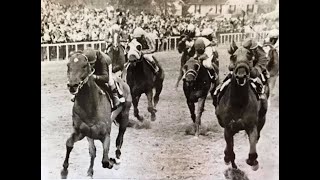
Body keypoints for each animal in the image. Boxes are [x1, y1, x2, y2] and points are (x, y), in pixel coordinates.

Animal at [61, 51, 131, 179]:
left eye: (84, 66)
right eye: (68, 65)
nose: (72, 85)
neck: (90, 106)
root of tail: (123, 81)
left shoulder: (106, 135)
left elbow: (105, 161)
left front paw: (112, 162)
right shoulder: (81, 132)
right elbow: (69, 144)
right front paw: (64, 170)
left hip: (125, 116)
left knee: (119, 139)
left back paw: (117, 159)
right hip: (90, 135)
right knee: (93, 151)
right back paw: (90, 171)